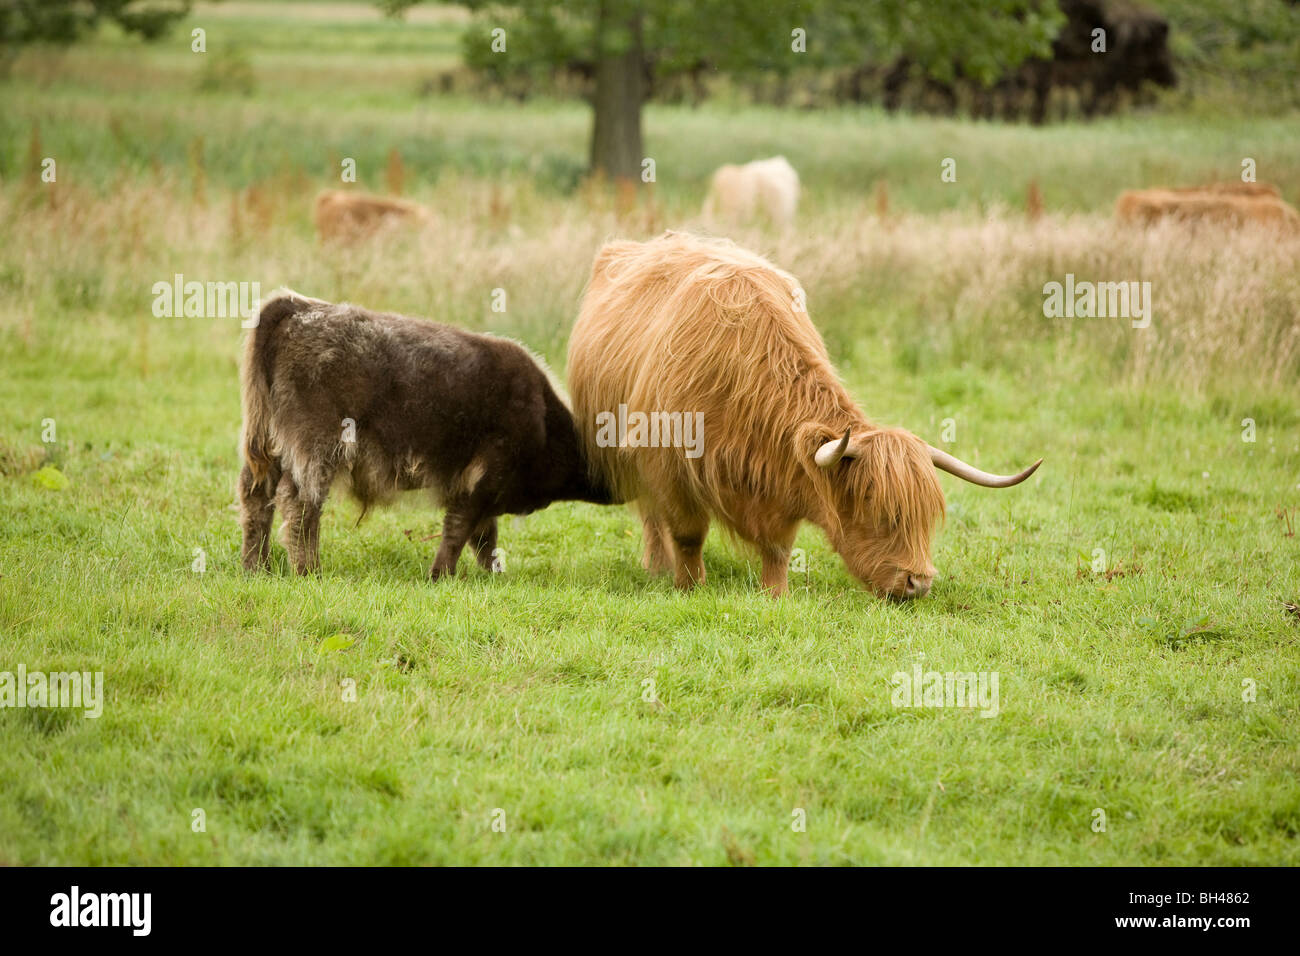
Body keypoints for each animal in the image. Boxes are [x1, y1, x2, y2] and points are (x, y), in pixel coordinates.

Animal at [239, 290, 613, 574]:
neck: (543, 417)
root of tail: (298, 308)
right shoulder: (481, 481)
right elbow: (460, 530)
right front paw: (441, 574)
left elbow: (483, 537)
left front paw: (492, 573)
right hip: (317, 449)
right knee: (300, 503)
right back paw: (308, 570)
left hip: (268, 449)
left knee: (256, 497)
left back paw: (256, 567)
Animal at [569, 231, 1045, 598]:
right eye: (876, 507)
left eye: (924, 517)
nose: (919, 583)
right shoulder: (666, 466)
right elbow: (687, 533)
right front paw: (689, 587)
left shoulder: (782, 484)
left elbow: (779, 547)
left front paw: (774, 593)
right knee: (651, 515)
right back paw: (656, 566)